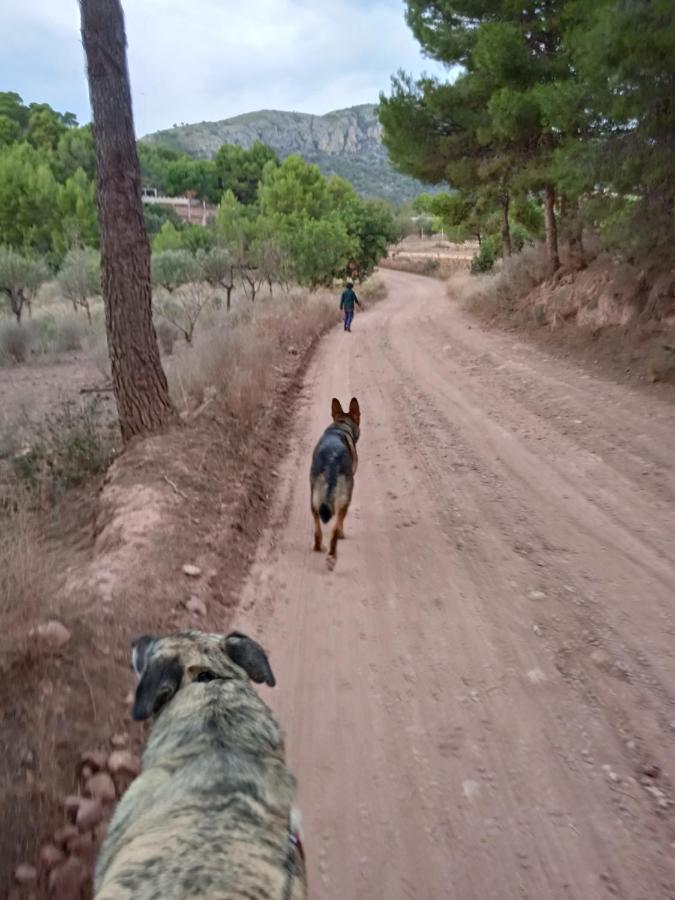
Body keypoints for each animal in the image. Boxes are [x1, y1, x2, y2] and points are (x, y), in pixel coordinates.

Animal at [312, 396, 362, 568]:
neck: (341, 425)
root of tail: (331, 461)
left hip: (314, 500)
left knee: (317, 530)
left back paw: (319, 547)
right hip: (346, 496)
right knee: (335, 528)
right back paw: (332, 555)